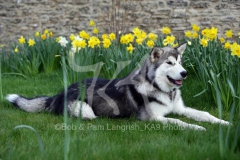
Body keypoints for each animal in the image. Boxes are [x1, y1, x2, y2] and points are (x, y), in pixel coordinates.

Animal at [6, 43, 230, 131]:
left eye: (181, 63)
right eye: (169, 63)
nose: (185, 73)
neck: (161, 90)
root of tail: (59, 93)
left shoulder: (180, 108)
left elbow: (204, 114)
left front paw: (223, 122)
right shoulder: (153, 118)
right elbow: (179, 122)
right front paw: (197, 128)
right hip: (85, 110)